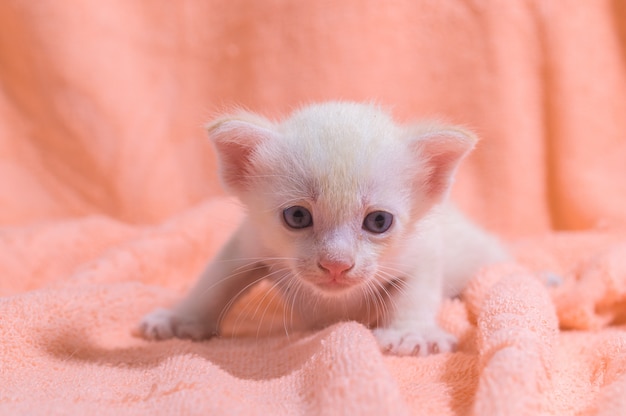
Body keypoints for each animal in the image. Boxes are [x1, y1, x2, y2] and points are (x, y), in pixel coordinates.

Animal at [136, 102, 508, 356]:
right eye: (298, 216)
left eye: (378, 221)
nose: (336, 264)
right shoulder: (250, 240)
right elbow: (215, 279)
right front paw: (180, 319)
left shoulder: (423, 248)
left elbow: (416, 290)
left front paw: (410, 332)